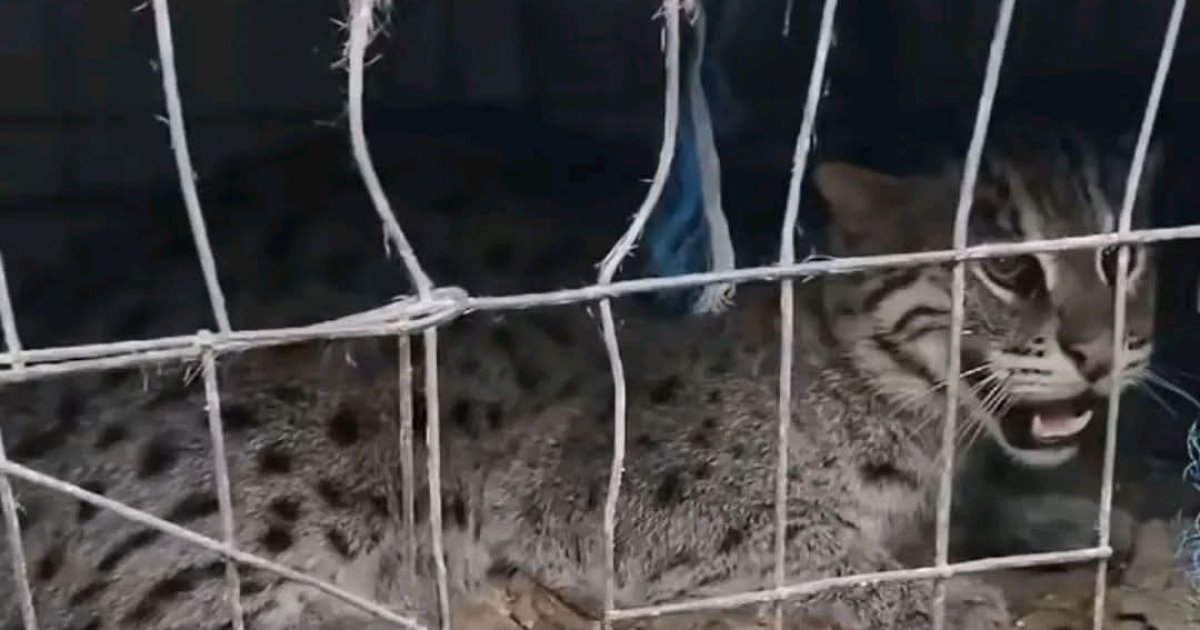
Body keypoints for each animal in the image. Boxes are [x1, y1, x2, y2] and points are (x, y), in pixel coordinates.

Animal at [0, 122, 1160, 629]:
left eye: (1130, 259)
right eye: (1009, 270)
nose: (1106, 355)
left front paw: (1062, 522)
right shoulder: (586, 494)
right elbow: (817, 551)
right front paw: (944, 591)